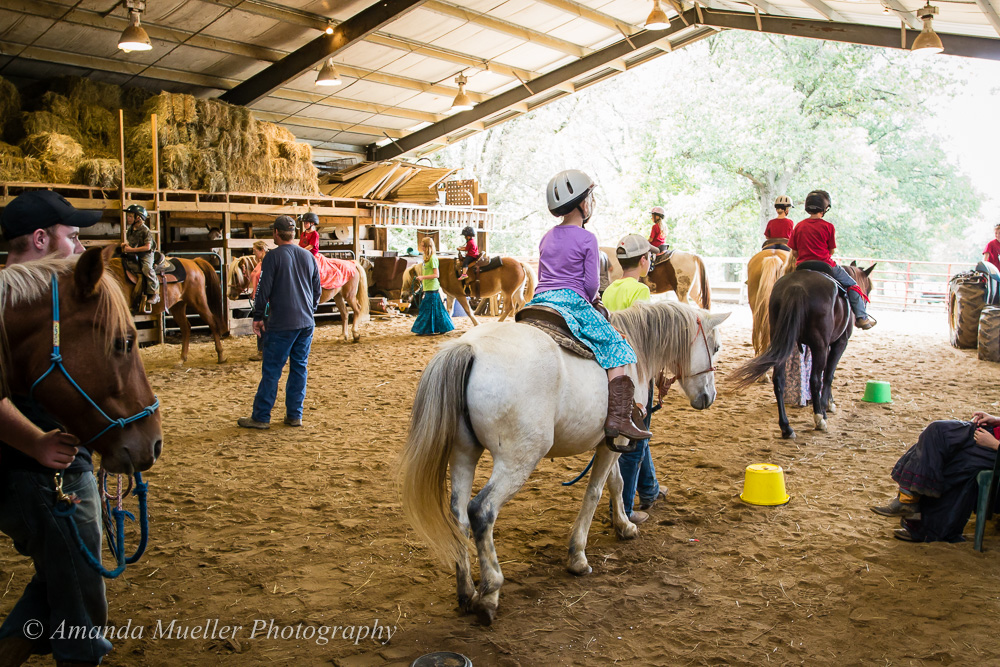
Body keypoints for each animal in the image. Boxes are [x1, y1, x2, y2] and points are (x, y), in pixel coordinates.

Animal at [228, 256, 372, 344]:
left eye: (235, 274)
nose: (229, 295)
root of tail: (352, 263)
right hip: (338, 296)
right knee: (345, 314)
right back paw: (343, 336)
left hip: (349, 295)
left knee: (357, 310)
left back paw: (355, 334)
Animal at [400, 256, 536, 326]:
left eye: (409, 280)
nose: (403, 295)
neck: (446, 270)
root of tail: (519, 263)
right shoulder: (451, 296)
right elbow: (449, 310)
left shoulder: (460, 296)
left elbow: (468, 311)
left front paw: (477, 324)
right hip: (517, 291)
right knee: (521, 303)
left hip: (507, 293)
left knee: (509, 307)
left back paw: (499, 322)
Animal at [402, 302, 732, 628]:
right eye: (715, 347)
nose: (709, 397)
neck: (637, 350)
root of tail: (470, 348)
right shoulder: (619, 440)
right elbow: (595, 492)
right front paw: (578, 557)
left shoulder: (609, 443)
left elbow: (616, 483)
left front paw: (624, 526)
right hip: (518, 459)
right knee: (481, 511)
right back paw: (489, 595)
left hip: (463, 453)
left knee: (458, 517)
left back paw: (467, 592)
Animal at [728, 264, 876, 440]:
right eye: (869, 288)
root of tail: (796, 287)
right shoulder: (839, 342)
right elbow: (828, 375)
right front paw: (826, 406)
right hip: (820, 345)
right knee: (815, 379)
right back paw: (819, 418)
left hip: (783, 342)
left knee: (779, 379)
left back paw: (786, 427)